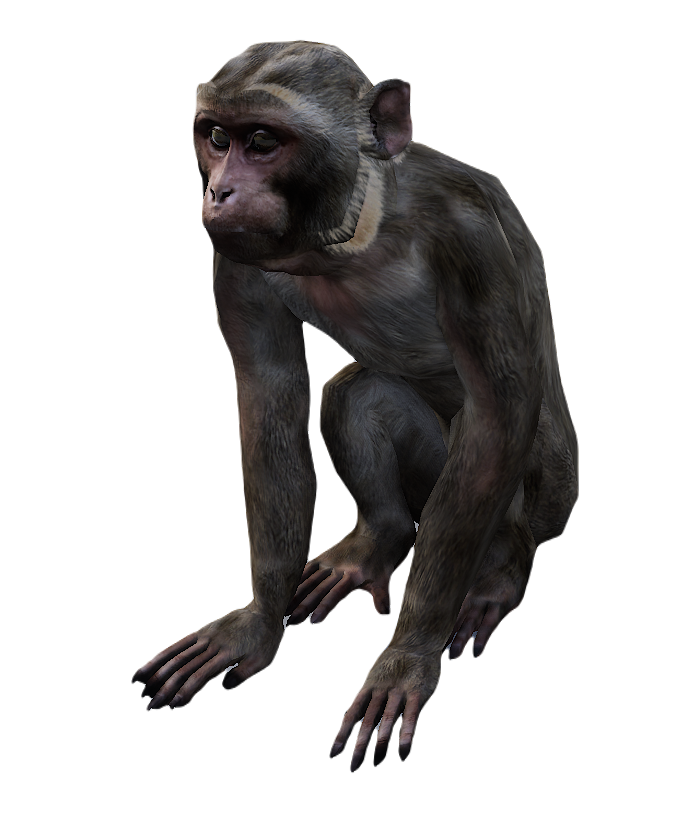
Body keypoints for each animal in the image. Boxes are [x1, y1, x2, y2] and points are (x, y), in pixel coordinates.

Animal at [132, 40, 578, 771]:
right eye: (217, 138)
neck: (361, 235)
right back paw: (381, 537)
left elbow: (495, 419)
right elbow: (270, 399)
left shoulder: (472, 242)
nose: (220, 189)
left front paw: (408, 654)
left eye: (263, 142)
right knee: (357, 395)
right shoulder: (237, 263)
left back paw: (502, 569)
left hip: (542, 498)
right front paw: (259, 619)